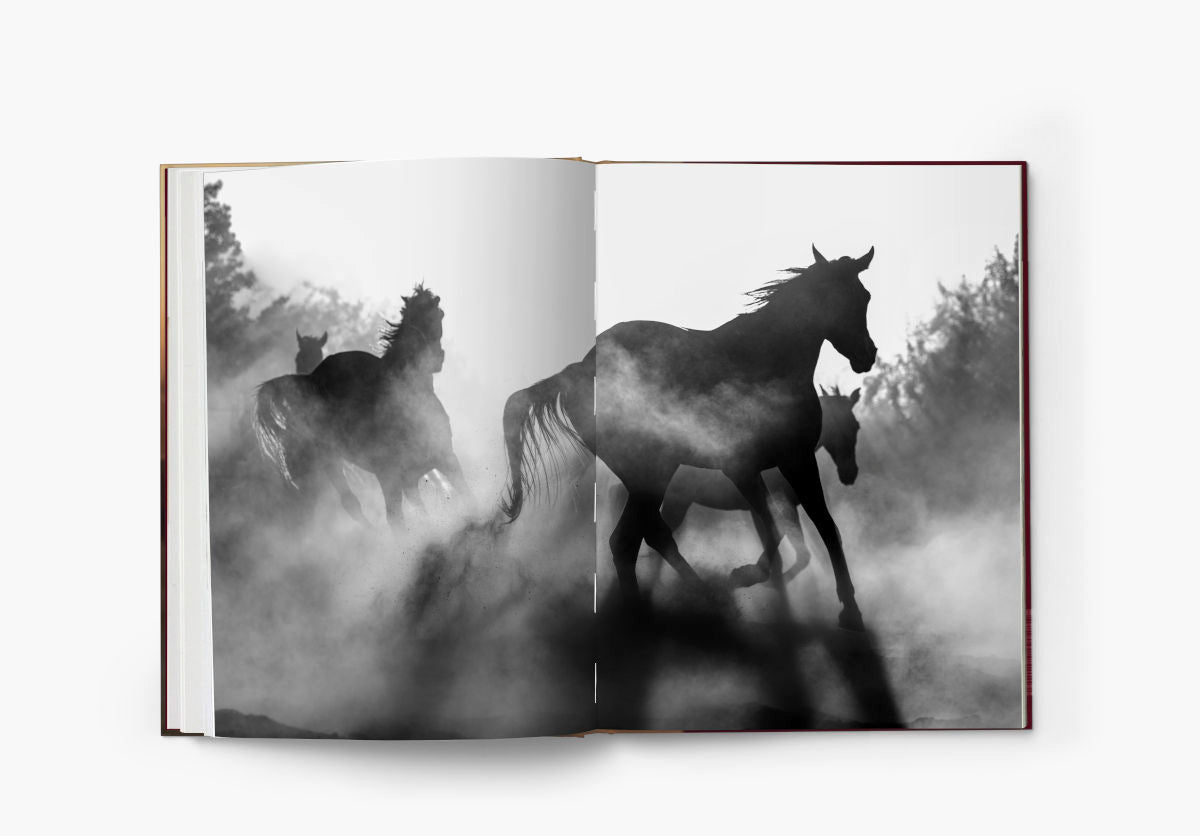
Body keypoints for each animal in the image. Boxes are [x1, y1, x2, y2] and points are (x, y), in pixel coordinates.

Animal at [255, 284, 468, 529]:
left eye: (438, 314)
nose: (437, 358)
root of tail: (311, 379)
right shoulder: (426, 464)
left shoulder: (423, 470)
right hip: (350, 468)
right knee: (369, 510)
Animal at [501, 245, 878, 631]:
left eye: (864, 296)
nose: (868, 354)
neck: (766, 360)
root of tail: (578, 370)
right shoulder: (754, 464)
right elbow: (780, 527)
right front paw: (749, 576)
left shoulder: (784, 462)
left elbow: (820, 527)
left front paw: (849, 608)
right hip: (653, 472)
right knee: (629, 541)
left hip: (650, 477)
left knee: (648, 536)